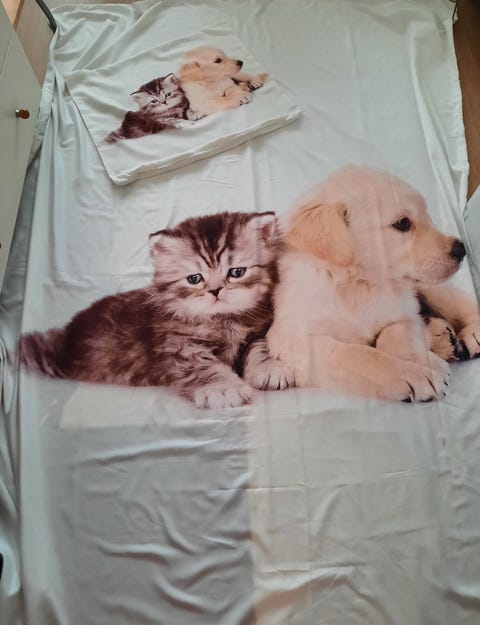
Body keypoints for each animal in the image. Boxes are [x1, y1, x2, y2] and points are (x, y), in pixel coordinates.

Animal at [20, 212, 294, 409]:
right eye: (194, 279)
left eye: (236, 272)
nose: (215, 291)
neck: (223, 320)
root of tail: (65, 339)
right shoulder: (179, 346)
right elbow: (202, 366)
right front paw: (223, 388)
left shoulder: (258, 329)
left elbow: (261, 346)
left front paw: (270, 368)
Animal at [267, 166, 480, 403]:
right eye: (402, 223)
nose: (461, 248)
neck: (359, 285)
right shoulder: (294, 339)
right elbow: (357, 355)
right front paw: (411, 374)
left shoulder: (405, 313)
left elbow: (394, 334)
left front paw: (424, 363)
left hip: (430, 288)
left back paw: (470, 335)